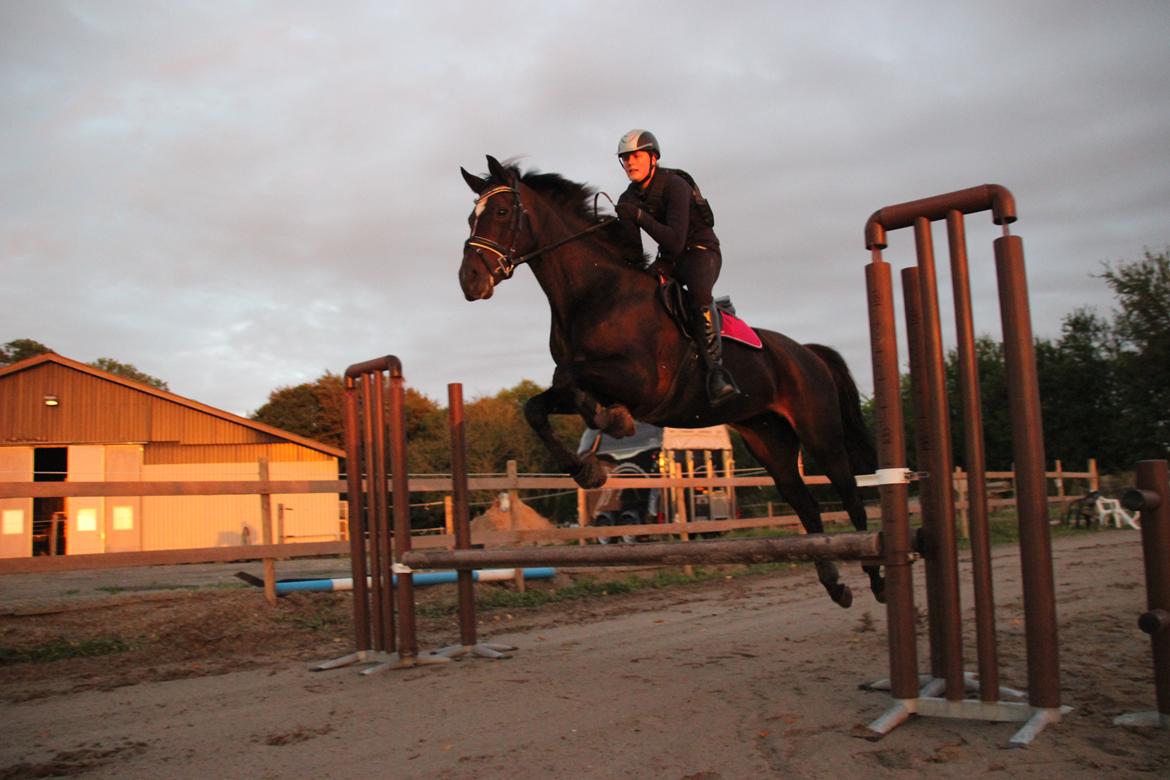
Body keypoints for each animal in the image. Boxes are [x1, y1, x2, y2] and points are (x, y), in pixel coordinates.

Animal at [458, 155, 884, 608]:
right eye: (471, 217)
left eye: (502, 212)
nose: (469, 281)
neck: (596, 293)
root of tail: (808, 352)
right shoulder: (583, 388)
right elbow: (537, 405)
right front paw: (588, 466)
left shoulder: (642, 381)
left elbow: (570, 376)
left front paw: (613, 421)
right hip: (769, 439)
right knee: (805, 503)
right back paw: (835, 582)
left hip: (820, 433)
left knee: (851, 495)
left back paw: (876, 578)